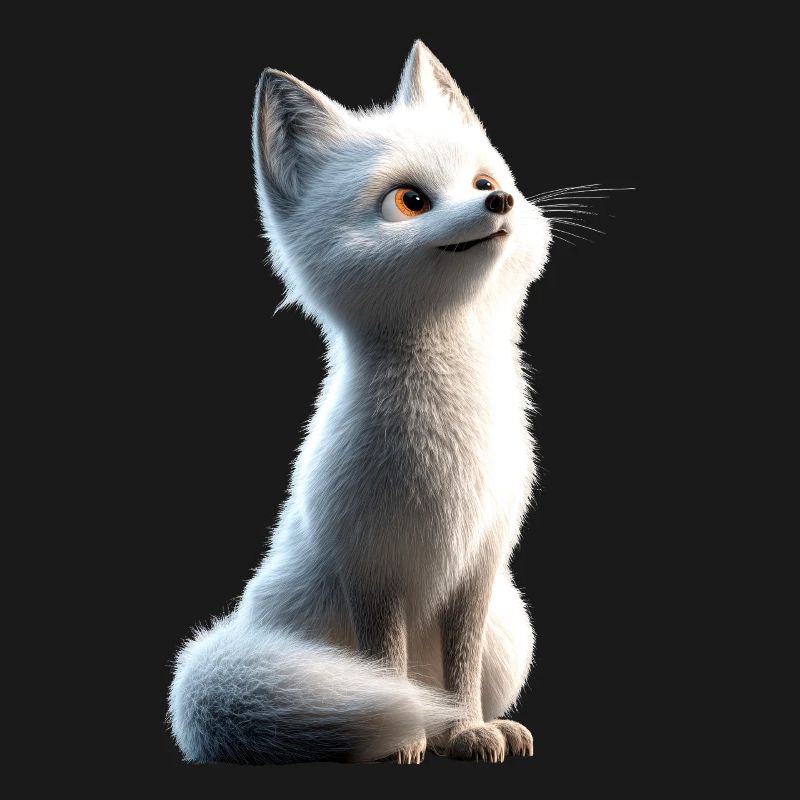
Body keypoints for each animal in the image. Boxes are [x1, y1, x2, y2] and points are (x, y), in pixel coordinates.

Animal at [169, 40, 552, 765]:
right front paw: (410, 739)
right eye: (410, 200)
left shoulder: (481, 562)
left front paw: (467, 729)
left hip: (511, 627)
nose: (502, 201)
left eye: (483, 182)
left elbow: (459, 671)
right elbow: (384, 664)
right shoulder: (370, 565)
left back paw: (490, 724)